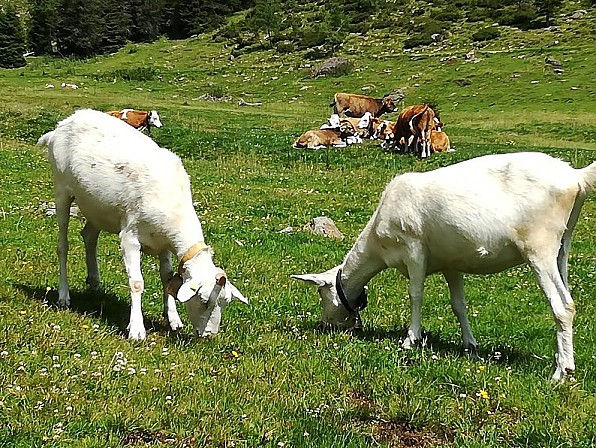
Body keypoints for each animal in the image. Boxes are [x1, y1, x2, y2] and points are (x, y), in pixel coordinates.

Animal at [37, 108, 247, 340]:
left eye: (225, 302)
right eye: (203, 300)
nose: (209, 334)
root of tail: (61, 126)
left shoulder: (164, 243)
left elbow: (167, 279)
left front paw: (173, 319)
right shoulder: (130, 237)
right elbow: (136, 282)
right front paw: (136, 329)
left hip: (96, 207)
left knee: (89, 235)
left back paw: (95, 282)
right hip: (61, 190)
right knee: (62, 246)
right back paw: (64, 296)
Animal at [294, 152, 596, 380]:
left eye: (322, 294)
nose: (326, 326)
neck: (378, 245)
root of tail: (576, 178)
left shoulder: (413, 248)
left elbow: (415, 294)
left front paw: (411, 339)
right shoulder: (452, 263)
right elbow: (458, 305)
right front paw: (470, 345)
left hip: (539, 247)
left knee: (563, 306)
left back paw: (560, 372)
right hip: (562, 246)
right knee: (568, 298)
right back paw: (568, 363)